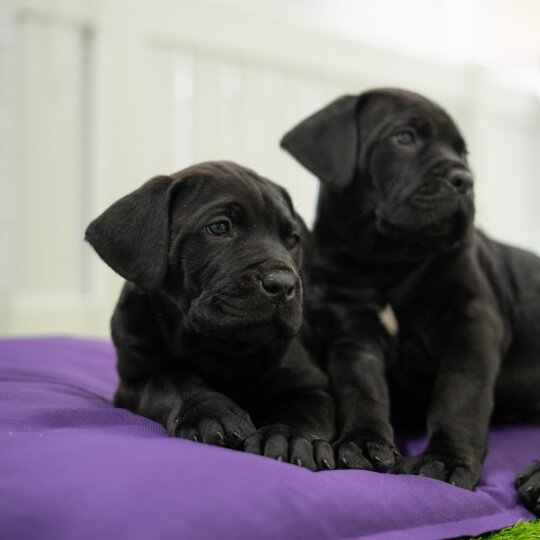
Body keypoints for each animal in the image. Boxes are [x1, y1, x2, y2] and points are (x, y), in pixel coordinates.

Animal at [85, 159, 336, 468]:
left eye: (292, 239)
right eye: (218, 227)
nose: (283, 284)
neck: (220, 347)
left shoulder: (311, 384)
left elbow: (302, 410)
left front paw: (290, 438)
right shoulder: (135, 379)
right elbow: (171, 382)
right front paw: (209, 412)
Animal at [280, 88, 540, 510]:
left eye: (463, 153)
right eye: (404, 137)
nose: (464, 179)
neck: (384, 262)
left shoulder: (471, 323)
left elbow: (459, 395)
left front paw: (445, 461)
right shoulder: (353, 336)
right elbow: (362, 390)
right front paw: (363, 443)